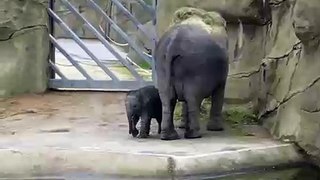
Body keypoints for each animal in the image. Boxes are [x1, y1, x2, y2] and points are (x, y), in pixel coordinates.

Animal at [155, 7, 242, 140]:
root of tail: (173, 44)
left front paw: (182, 126)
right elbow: (220, 90)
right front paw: (216, 129)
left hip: (162, 65)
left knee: (167, 98)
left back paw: (169, 136)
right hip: (194, 67)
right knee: (193, 98)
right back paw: (194, 135)